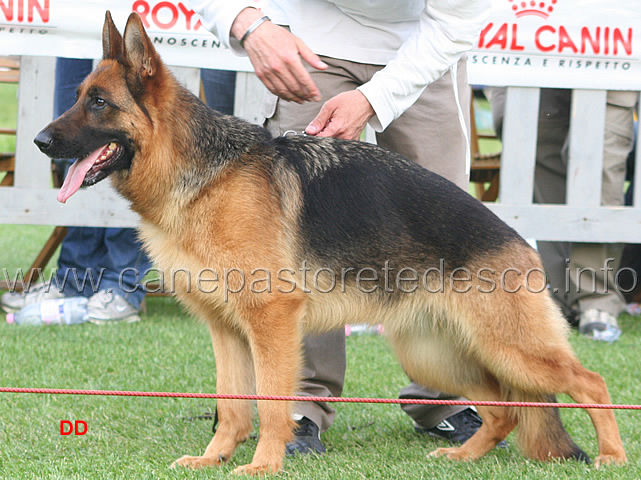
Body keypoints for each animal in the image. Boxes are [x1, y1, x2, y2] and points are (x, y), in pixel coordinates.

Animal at [36, 12, 624, 476]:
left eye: (99, 103)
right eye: (78, 99)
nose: (41, 141)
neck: (204, 173)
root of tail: (518, 239)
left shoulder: (271, 322)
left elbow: (272, 405)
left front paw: (262, 465)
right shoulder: (226, 330)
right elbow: (233, 406)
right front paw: (214, 458)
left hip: (510, 349)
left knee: (591, 382)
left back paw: (612, 456)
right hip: (439, 355)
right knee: (504, 410)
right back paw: (462, 456)